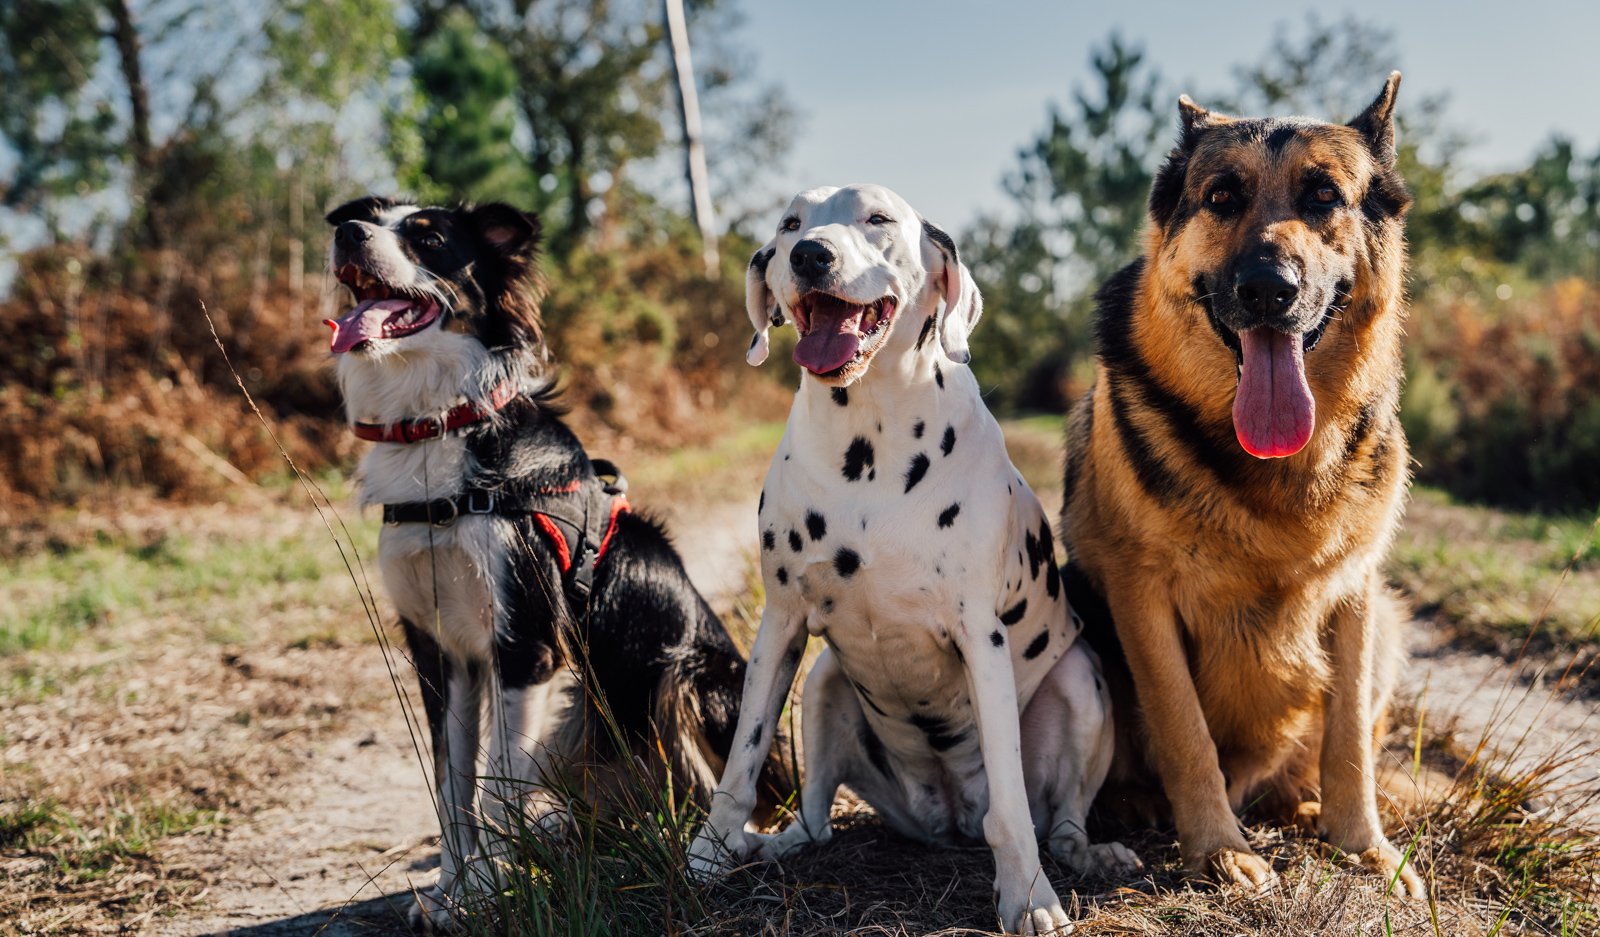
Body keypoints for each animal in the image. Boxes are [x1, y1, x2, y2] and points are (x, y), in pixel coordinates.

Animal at [326, 196, 793, 927]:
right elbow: (452, 786)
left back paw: (720, 842)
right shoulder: (441, 649)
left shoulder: (527, 644)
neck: (440, 425)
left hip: (686, 674)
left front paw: (487, 896)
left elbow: (495, 787)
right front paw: (452, 893)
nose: (346, 233)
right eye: (368, 216)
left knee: (734, 790)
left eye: (427, 237)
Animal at [688, 186, 1139, 927]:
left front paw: (1028, 896)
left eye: (877, 218)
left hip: (1080, 683)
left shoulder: (981, 636)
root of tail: (947, 815)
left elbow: (1012, 811)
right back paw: (772, 845)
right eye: (790, 223)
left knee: (1061, 820)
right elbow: (741, 761)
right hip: (823, 684)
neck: (868, 436)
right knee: (817, 822)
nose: (809, 254)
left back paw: (1089, 853)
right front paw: (708, 854)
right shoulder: (780, 624)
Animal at [1062, 71, 1427, 889]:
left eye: (1324, 195)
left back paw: (1300, 806)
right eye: (1223, 196)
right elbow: (1184, 727)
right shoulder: (1140, 592)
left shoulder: (1358, 593)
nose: (1267, 289)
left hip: (1391, 622)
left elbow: (1349, 742)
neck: (1277, 468)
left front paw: (1362, 845)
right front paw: (1218, 849)